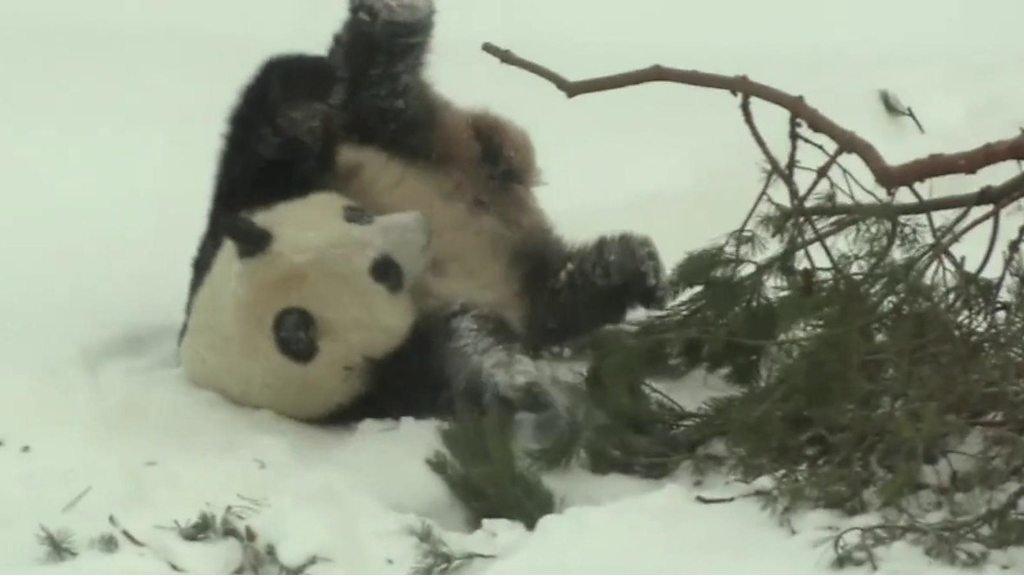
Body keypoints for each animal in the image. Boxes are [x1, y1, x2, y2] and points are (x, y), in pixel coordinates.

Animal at [180, 1, 663, 422]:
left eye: (356, 214)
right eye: (385, 272)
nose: (420, 223)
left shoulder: (250, 197)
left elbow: (270, 108)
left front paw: (302, 114)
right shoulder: (387, 379)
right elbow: (470, 347)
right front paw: (518, 387)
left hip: (415, 144)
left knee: (379, 99)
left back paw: (390, 21)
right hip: (525, 274)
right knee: (560, 295)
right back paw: (621, 267)